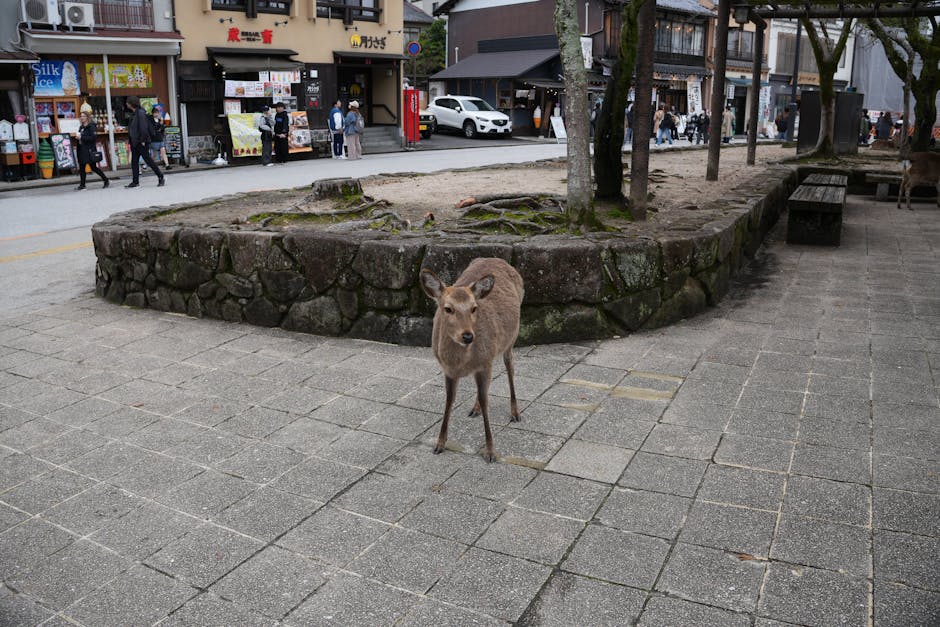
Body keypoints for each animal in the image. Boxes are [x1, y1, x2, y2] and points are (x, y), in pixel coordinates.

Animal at [420, 258, 524, 463]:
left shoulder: (485, 362)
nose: (468, 336)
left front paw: (490, 451)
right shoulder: (448, 370)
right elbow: (449, 400)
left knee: (510, 365)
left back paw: (515, 412)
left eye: (474, 308)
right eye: (448, 308)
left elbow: (486, 402)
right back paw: (474, 408)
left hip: (512, 337)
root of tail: (500, 260)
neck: (461, 363)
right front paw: (439, 444)